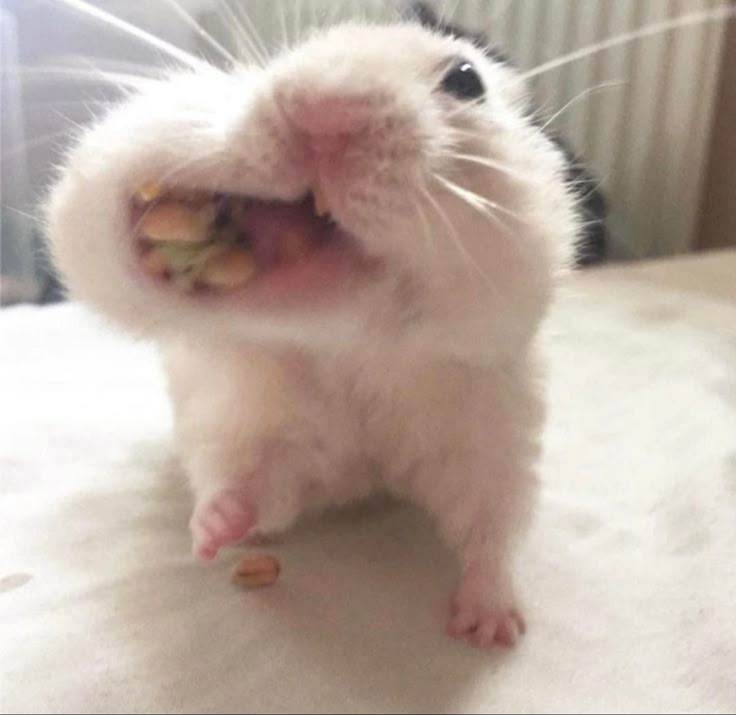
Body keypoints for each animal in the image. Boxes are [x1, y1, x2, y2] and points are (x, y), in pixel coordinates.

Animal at [47, 5, 580, 648]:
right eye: (289, 56)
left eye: (466, 80)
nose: (322, 111)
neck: (350, 348)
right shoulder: (256, 430)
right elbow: (249, 483)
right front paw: (212, 535)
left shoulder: (490, 433)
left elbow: (492, 525)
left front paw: (490, 631)